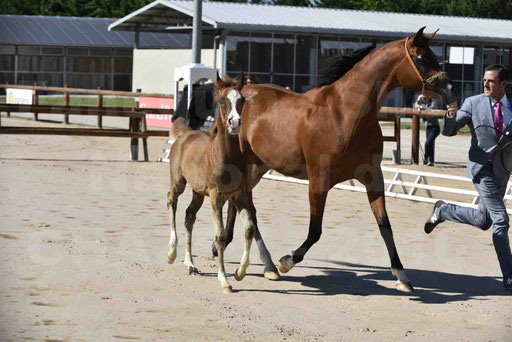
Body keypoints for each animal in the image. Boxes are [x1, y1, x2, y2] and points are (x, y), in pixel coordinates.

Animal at [167, 73, 280, 292]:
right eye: (221, 101)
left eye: (242, 100)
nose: (235, 123)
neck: (224, 156)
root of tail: (185, 134)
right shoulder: (216, 196)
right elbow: (220, 236)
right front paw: (224, 281)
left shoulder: (239, 195)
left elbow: (249, 228)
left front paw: (239, 273)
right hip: (179, 182)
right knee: (171, 201)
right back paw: (171, 253)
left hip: (197, 192)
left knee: (189, 216)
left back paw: (190, 264)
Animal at [236, 28, 456, 292]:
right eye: (422, 58)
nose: (451, 87)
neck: (344, 115)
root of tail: (242, 91)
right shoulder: (318, 182)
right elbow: (315, 231)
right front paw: (286, 261)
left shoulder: (373, 178)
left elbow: (385, 226)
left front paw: (402, 277)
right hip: (245, 166)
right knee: (246, 207)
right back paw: (265, 264)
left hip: (258, 167)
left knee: (245, 207)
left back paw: (264, 265)